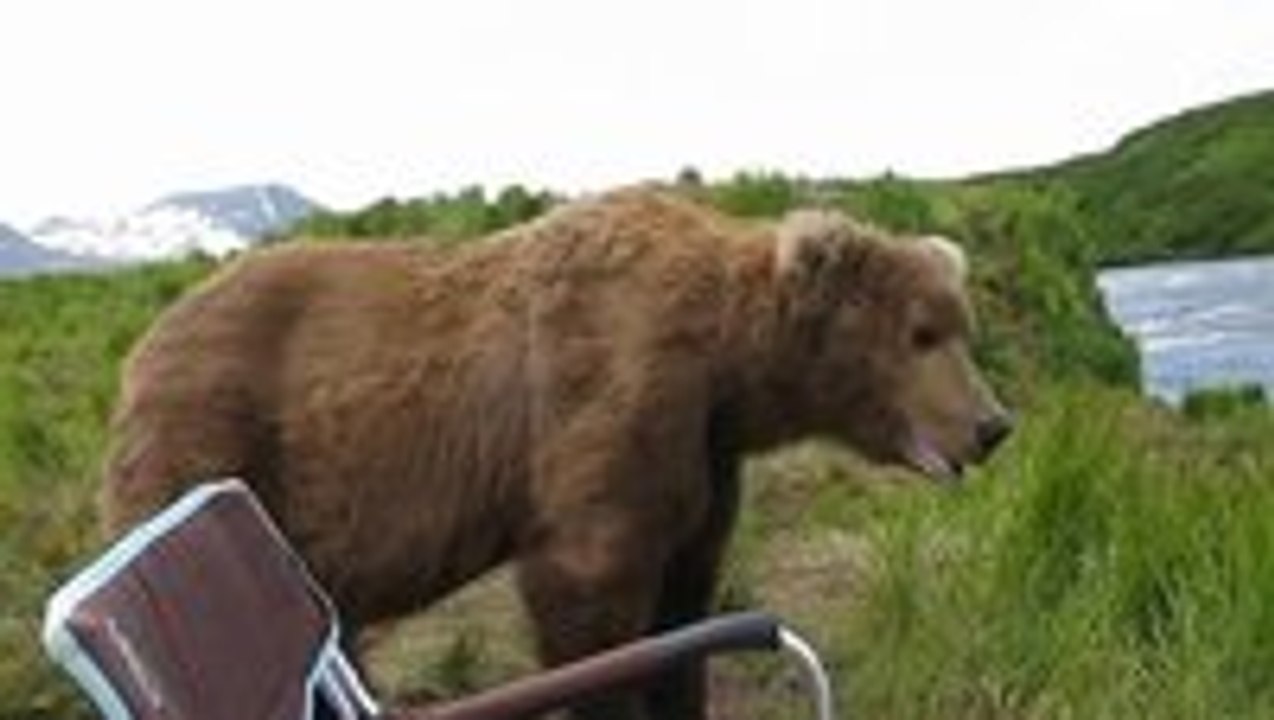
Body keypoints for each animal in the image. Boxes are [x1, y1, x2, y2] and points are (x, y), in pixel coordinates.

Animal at [100, 186, 1011, 720]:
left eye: (960, 326)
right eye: (921, 333)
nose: (992, 424)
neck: (726, 365)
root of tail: (139, 349)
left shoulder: (703, 456)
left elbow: (685, 598)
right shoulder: (611, 394)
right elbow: (588, 589)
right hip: (215, 440)